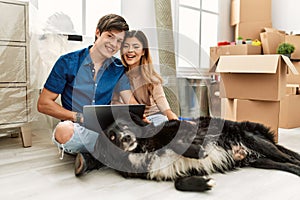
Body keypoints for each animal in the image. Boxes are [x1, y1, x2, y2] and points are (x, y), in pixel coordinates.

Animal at [91, 114, 300, 192]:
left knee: (290, 157)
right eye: (112, 136)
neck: (142, 148)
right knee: (286, 163)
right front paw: (204, 183)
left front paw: (198, 151)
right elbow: (179, 183)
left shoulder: (182, 129)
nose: (126, 138)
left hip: (256, 141)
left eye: (125, 125)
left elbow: (176, 142)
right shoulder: (176, 170)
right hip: (259, 160)